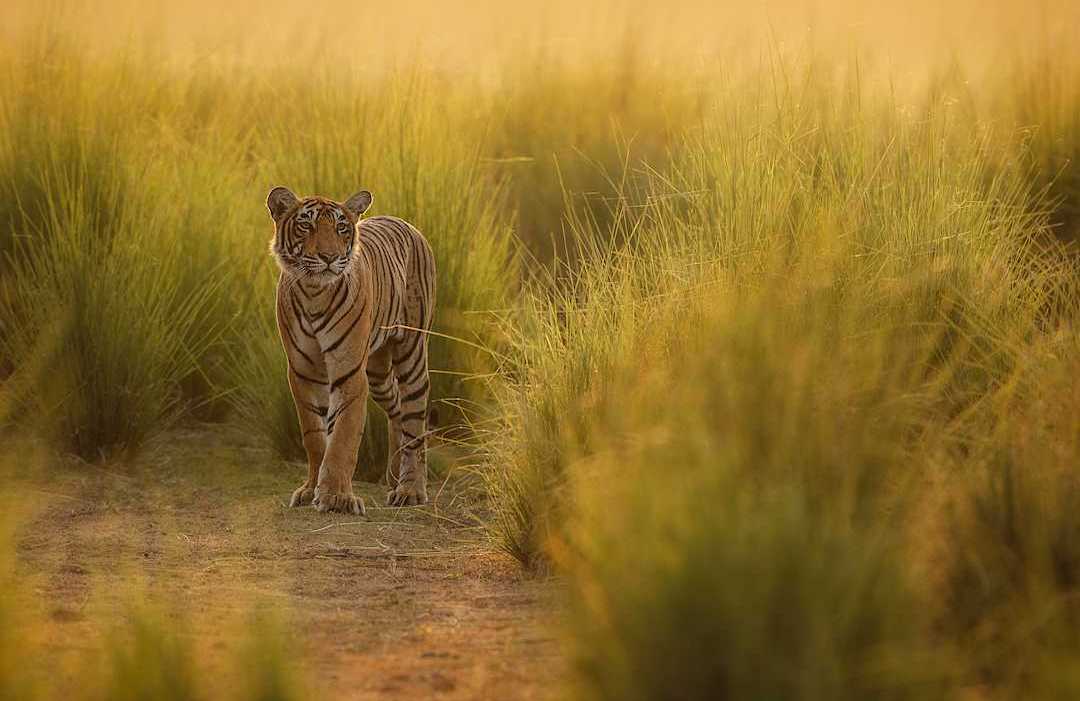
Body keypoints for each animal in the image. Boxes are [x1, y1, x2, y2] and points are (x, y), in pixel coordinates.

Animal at [266, 186, 436, 515]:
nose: (329, 257)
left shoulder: (349, 371)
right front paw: (311, 490)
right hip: (378, 370)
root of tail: (405, 222)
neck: (314, 292)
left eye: (341, 228)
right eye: (306, 225)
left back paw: (410, 489)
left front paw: (336, 497)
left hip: (411, 352)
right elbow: (315, 436)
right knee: (396, 409)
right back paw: (394, 476)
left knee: (414, 421)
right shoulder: (304, 372)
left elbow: (343, 436)